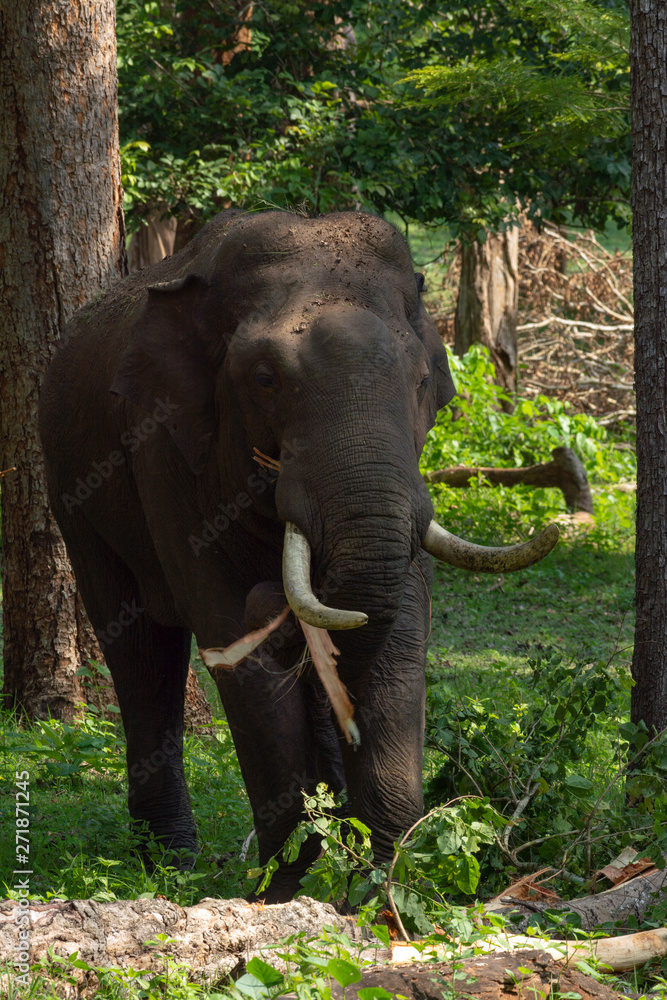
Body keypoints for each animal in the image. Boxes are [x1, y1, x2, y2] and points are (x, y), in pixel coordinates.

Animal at [39, 209, 557, 902]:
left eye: (423, 381)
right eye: (264, 380)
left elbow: (399, 626)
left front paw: (391, 885)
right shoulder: (169, 452)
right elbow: (237, 641)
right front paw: (284, 890)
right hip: (74, 491)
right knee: (140, 646)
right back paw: (171, 859)